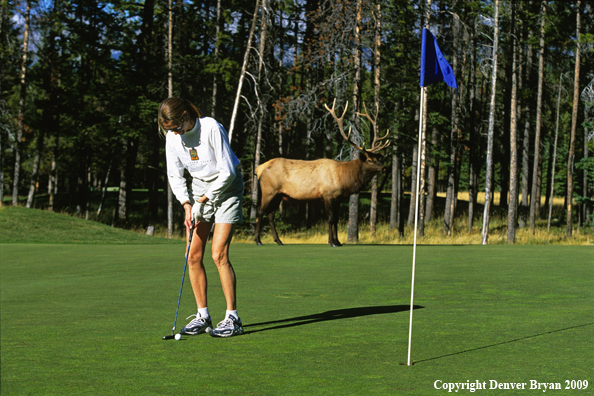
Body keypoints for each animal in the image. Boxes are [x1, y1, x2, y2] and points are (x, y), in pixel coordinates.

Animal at [253, 100, 388, 246]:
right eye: (369, 160)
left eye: (378, 158)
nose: (384, 168)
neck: (344, 179)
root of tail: (259, 168)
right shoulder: (327, 194)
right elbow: (330, 218)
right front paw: (332, 242)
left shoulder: (338, 198)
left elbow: (336, 219)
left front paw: (337, 241)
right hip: (269, 190)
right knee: (260, 211)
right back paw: (258, 240)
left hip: (279, 194)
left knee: (270, 214)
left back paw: (278, 241)